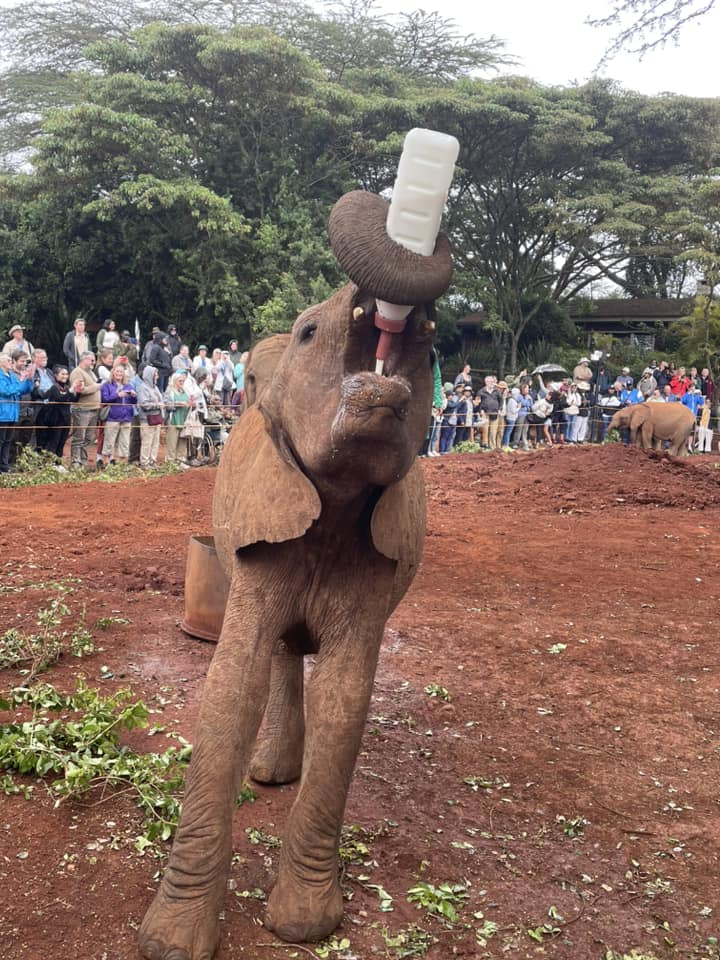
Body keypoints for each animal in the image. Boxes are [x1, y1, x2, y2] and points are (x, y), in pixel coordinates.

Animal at [139, 189, 452, 960]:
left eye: (432, 343)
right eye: (312, 332)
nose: (399, 315)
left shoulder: (376, 558)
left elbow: (346, 696)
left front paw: (305, 925)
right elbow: (232, 687)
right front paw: (171, 941)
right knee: (279, 655)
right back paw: (272, 772)